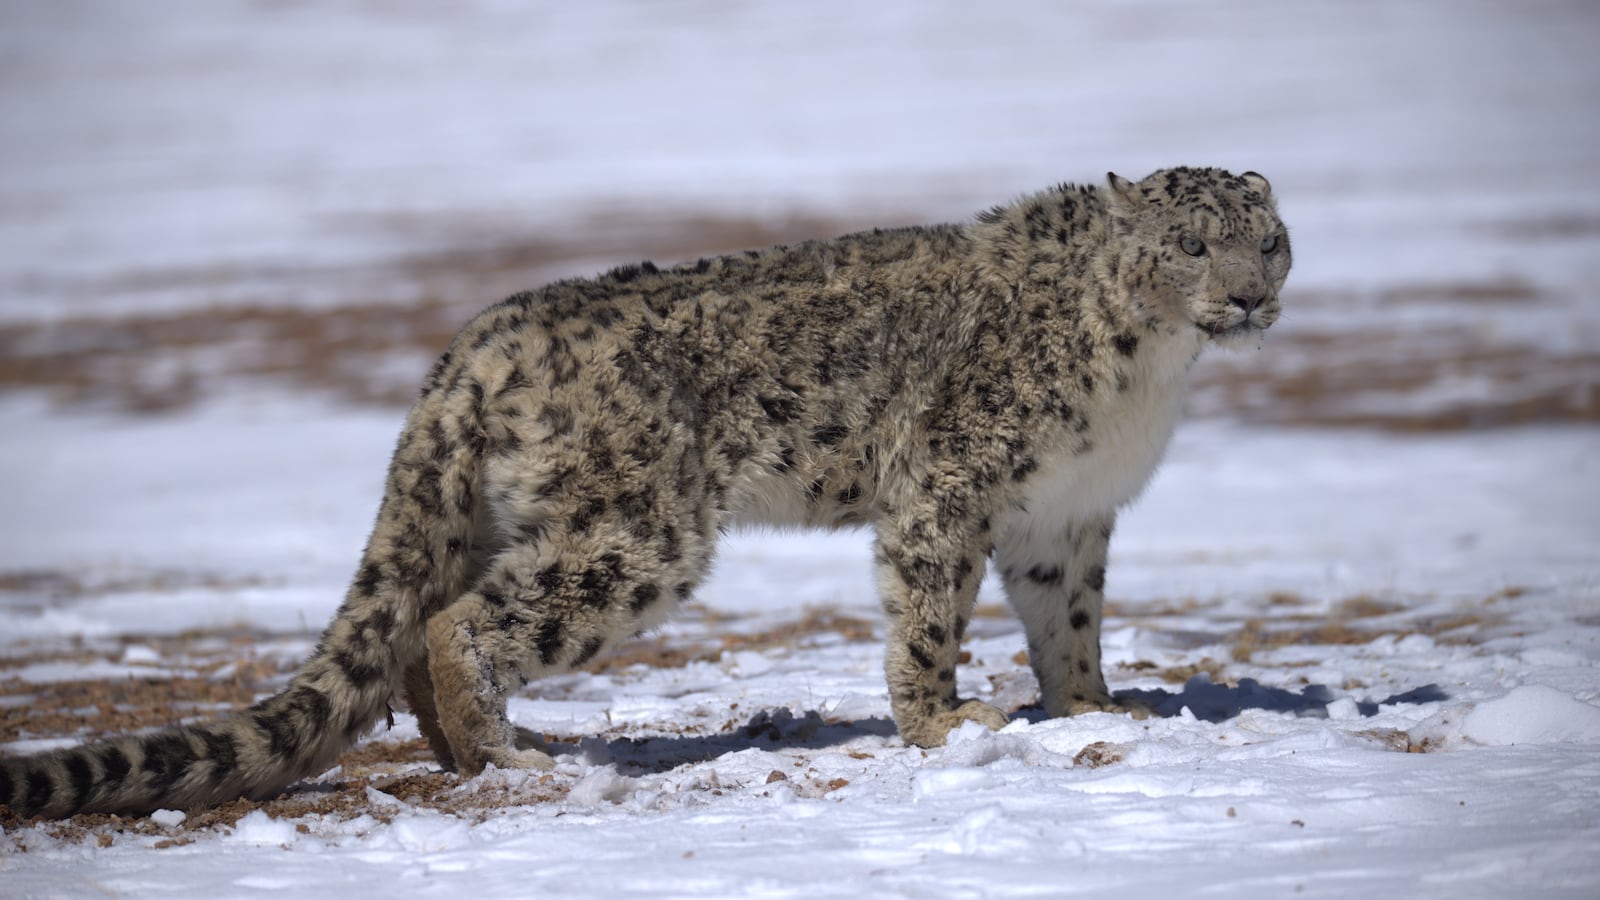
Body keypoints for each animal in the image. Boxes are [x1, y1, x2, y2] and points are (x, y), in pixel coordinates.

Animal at [1, 166, 1289, 819]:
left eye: (1265, 237)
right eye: (1188, 243)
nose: (1247, 297)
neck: (1145, 379)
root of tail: (473, 346)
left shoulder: (1065, 514)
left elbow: (1069, 622)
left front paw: (1093, 709)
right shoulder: (947, 484)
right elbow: (927, 617)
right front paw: (944, 726)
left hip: (512, 521)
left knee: (416, 621)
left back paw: (477, 749)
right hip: (641, 534)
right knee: (458, 621)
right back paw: (508, 754)